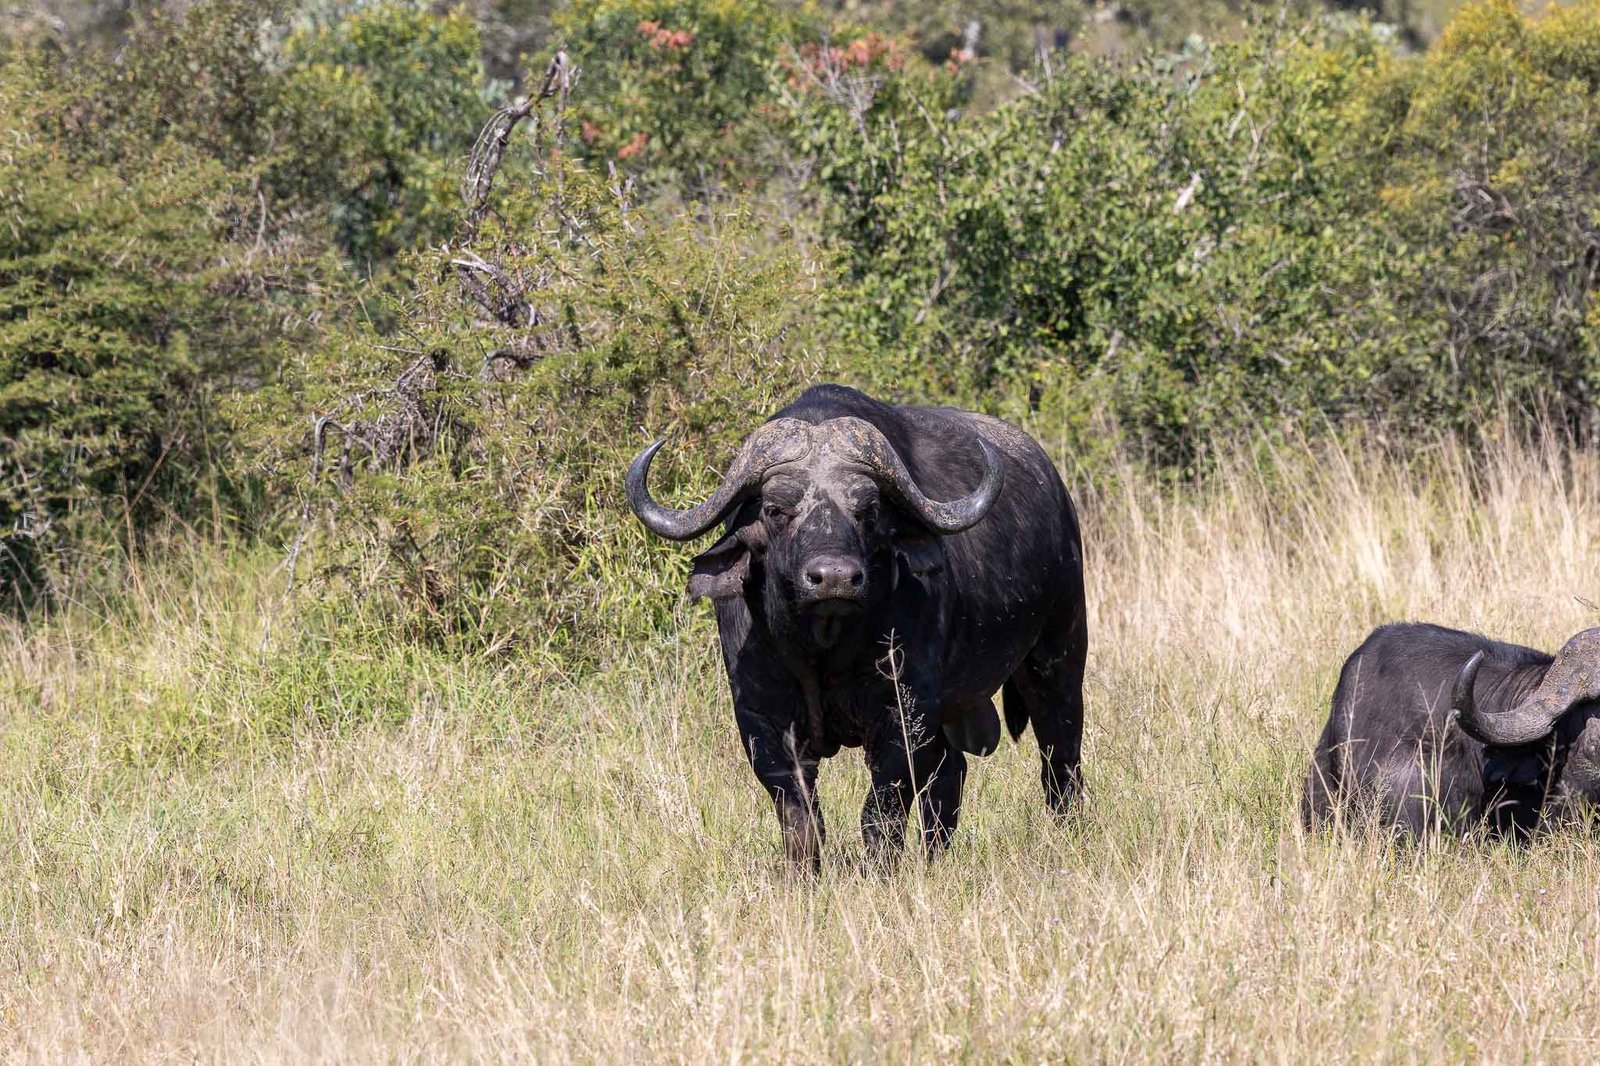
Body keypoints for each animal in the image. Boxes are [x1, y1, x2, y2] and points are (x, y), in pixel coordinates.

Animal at [626, 384, 1088, 868]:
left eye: (867, 509)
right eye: (775, 510)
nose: (834, 578)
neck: (822, 650)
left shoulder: (905, 711)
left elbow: (881, 810)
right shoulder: (761, 718)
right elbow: (800, 816)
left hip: (1058, 657)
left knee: (1059, 759)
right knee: (951, 774)